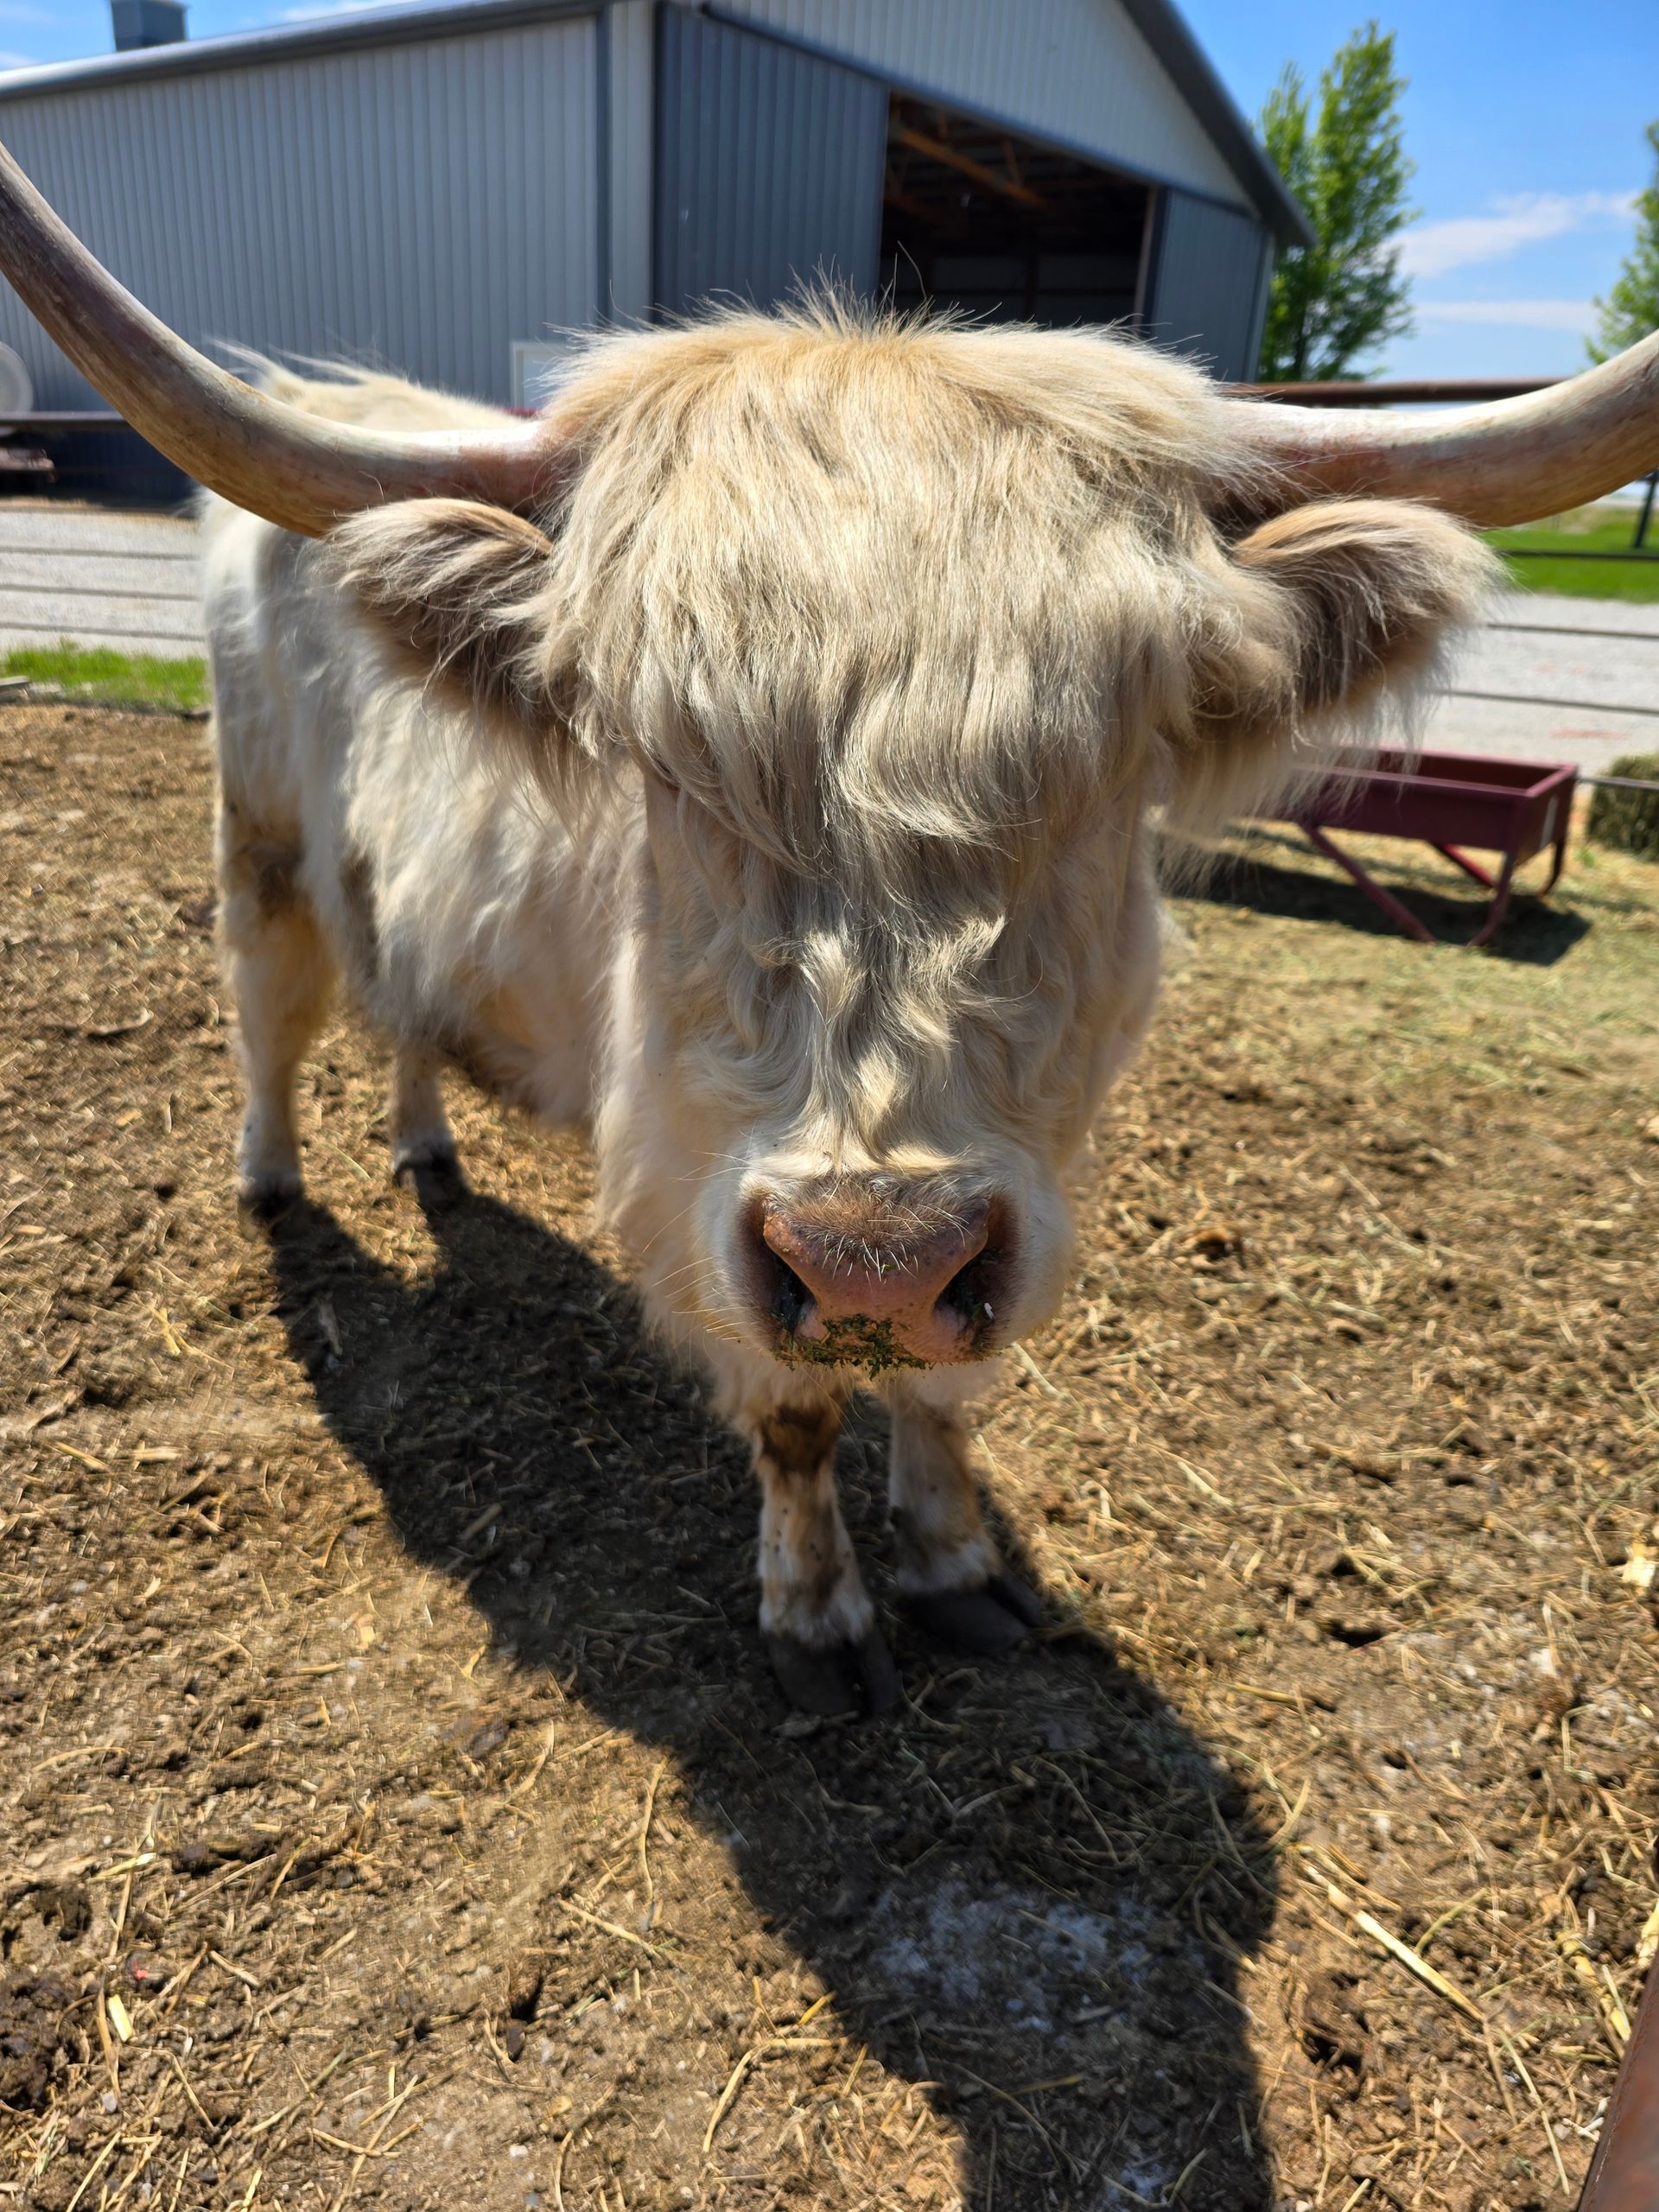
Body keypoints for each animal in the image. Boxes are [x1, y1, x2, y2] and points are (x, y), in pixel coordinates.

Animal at [2, 138, 1653, 1714]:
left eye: (1111, 757)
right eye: (662, 763)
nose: (875, 1261)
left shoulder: (1029, 1176)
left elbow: (947, 1393)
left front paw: (955, 1564)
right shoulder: (690, 1177)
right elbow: (795, 1417)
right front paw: (819, 1617)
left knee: (404, 1002)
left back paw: (427, 1146)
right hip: (259, 831)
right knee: (270, 1002)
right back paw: (272, 1176)